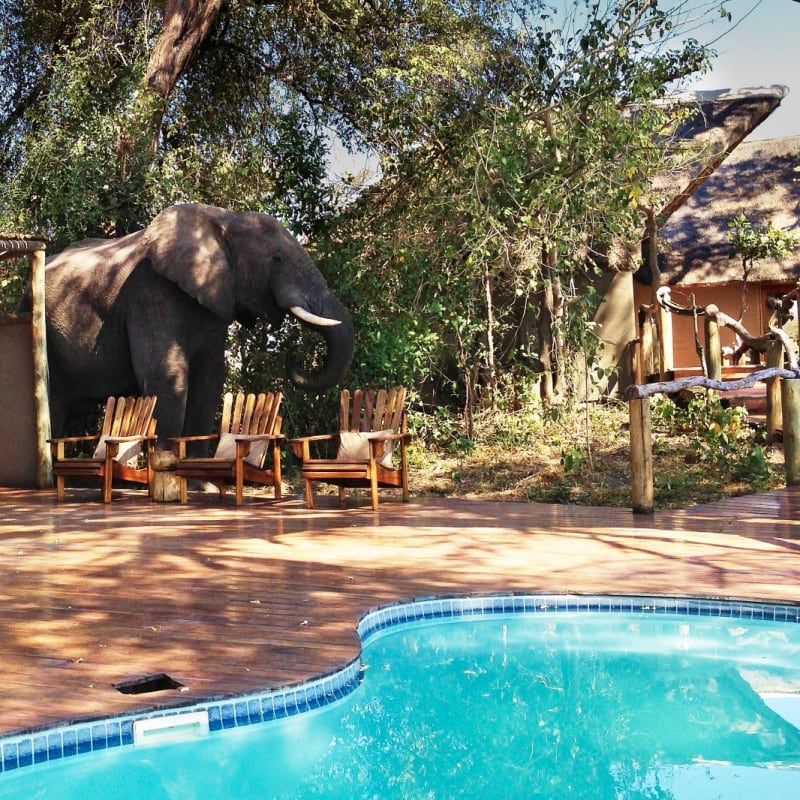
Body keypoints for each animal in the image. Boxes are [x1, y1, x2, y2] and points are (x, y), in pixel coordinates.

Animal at [18, 203, 355, 445]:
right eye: (277, 259)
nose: (293, 359)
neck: (224, 219)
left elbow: (210, 380)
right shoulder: (150, 294)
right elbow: (167, 378)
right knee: (54, 402)